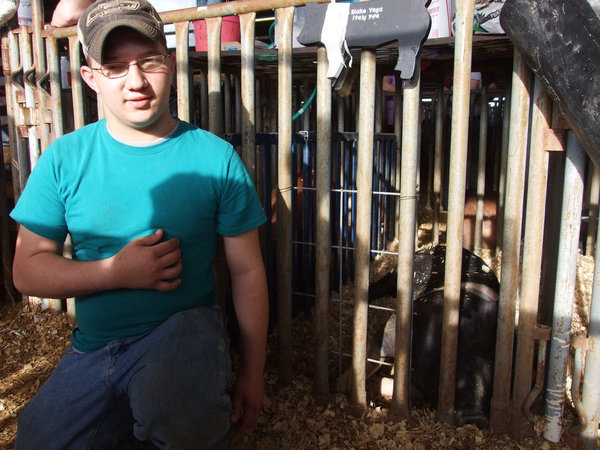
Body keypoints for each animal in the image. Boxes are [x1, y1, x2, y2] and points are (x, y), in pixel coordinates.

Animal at [338, 246, 502, 428]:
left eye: (492, 383)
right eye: (463, 368)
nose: (476, 419)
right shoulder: (399, 326)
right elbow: (374, 356)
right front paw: (341, 387)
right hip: (400, 273)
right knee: (381, 285)